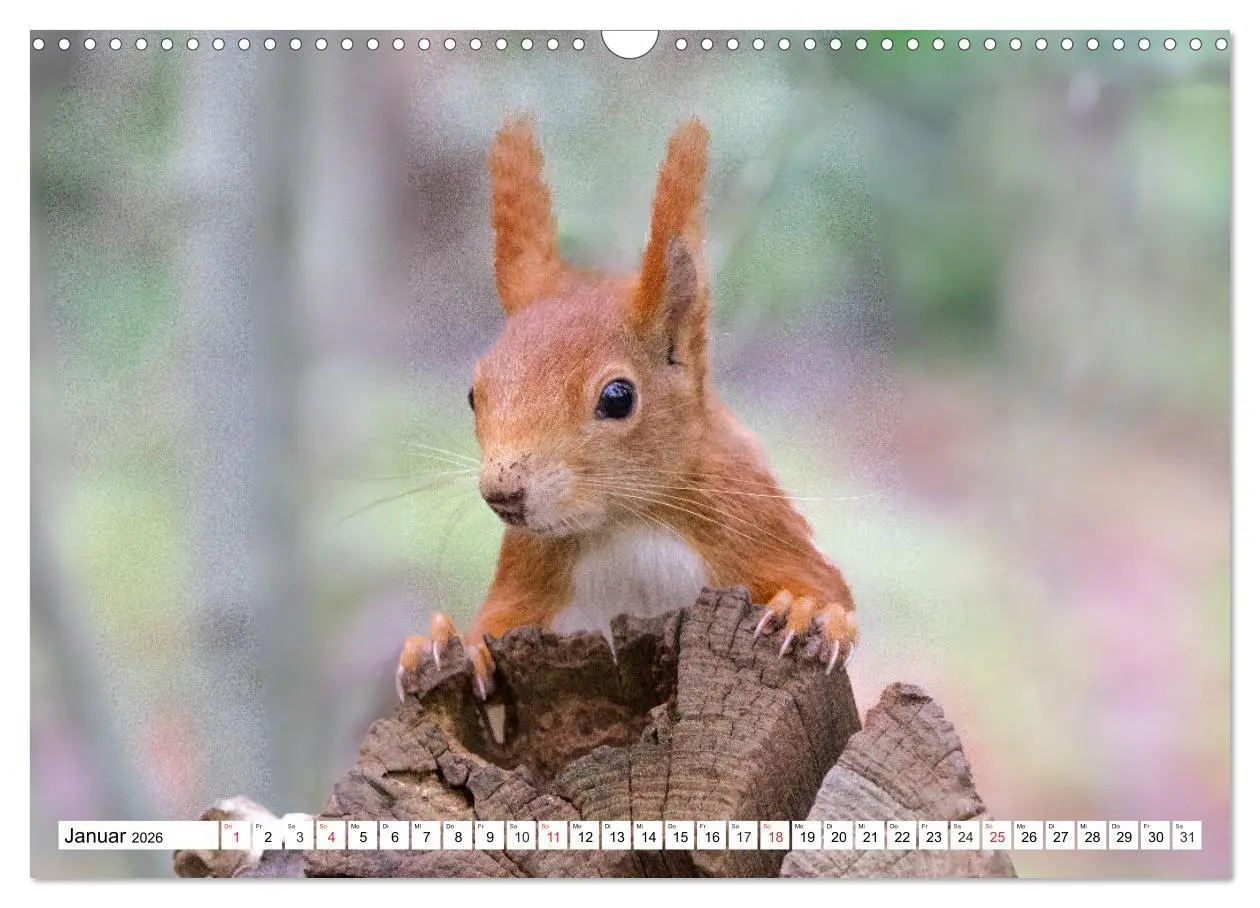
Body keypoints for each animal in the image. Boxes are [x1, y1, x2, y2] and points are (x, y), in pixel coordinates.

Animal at [397, 117, 858, 701]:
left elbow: (826, 586)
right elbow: (497, 618)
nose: (502, 493)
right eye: (473, 394)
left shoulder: (747, 514)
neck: (627, 521)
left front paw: (806, 610)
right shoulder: (531, 567)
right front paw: (452, 641)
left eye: (618, 398)